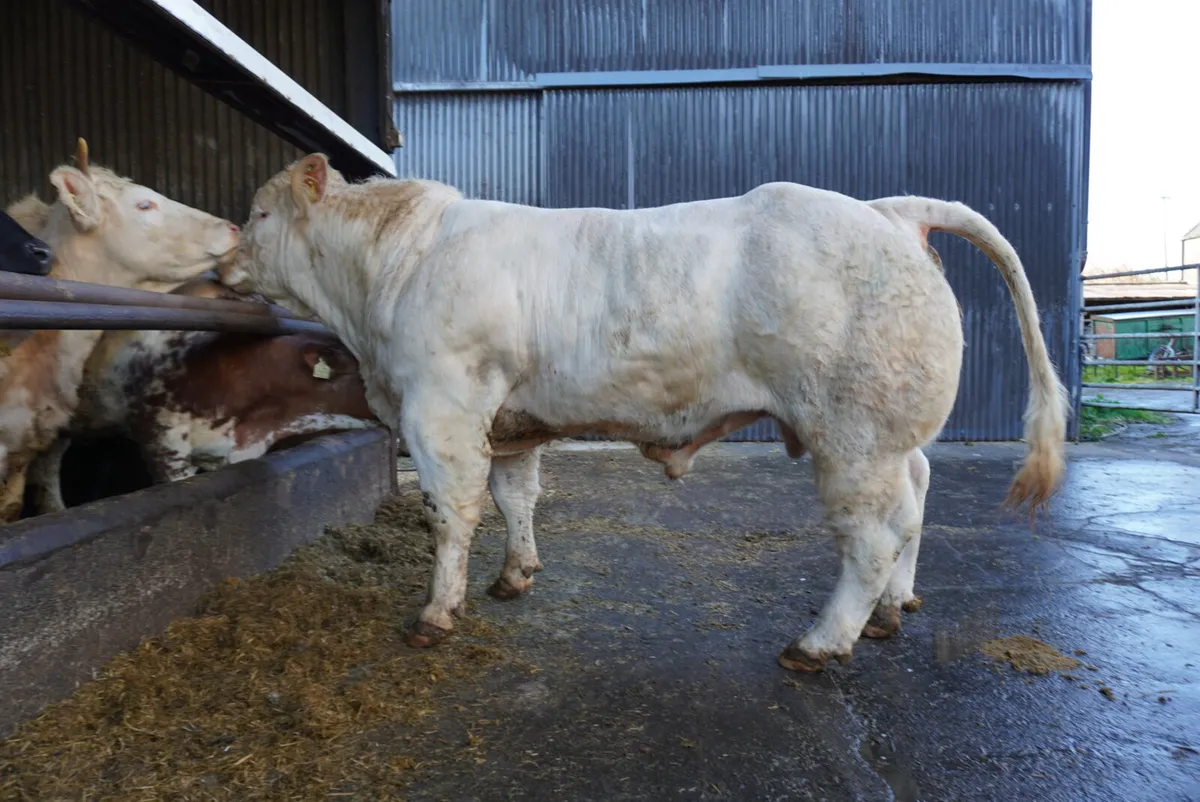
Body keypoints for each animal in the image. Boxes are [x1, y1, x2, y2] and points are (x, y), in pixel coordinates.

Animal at [222, 153, 1068, 673]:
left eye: (259, 214)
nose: (222, 258)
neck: (388, 274)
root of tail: (888, 211)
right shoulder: (511, 422)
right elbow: (514, 499)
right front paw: (515, 575)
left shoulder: (443, 406)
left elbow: (450, 512)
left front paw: (436, 612)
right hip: (887, 436)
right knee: (916, 499)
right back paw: (894, 609)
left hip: (852, 437)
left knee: (873, 536)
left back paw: (820, 644)